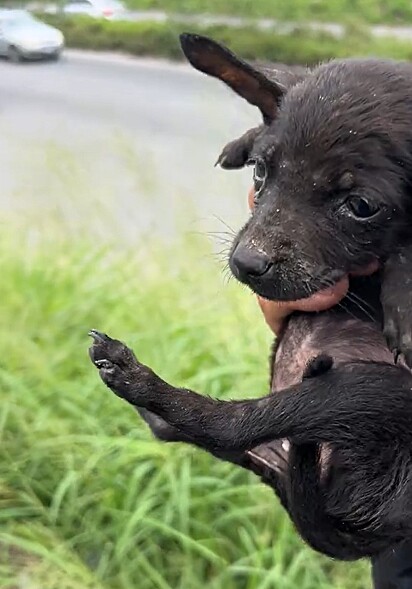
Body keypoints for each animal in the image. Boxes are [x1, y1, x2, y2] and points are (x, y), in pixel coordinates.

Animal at [89, 36, 412, 560]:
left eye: (362, 206)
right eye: (261, 172)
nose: (245, 262)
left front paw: (403, 294)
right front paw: (245, 135)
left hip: (375, 389)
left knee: (236, 422)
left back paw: (137, 379)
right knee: (199, 435)